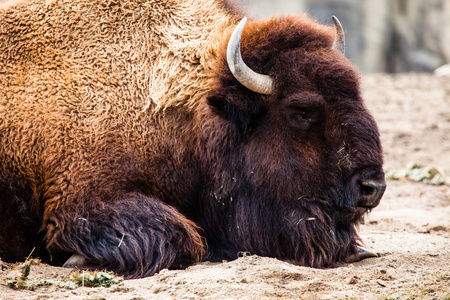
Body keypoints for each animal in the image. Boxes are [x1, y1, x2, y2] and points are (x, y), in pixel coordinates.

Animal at [0, 0, 386, 278]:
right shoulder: (83, 200)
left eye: (357, 92)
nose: (372, 186)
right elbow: (180, 237)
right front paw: (75, 260)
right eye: (301, 111)